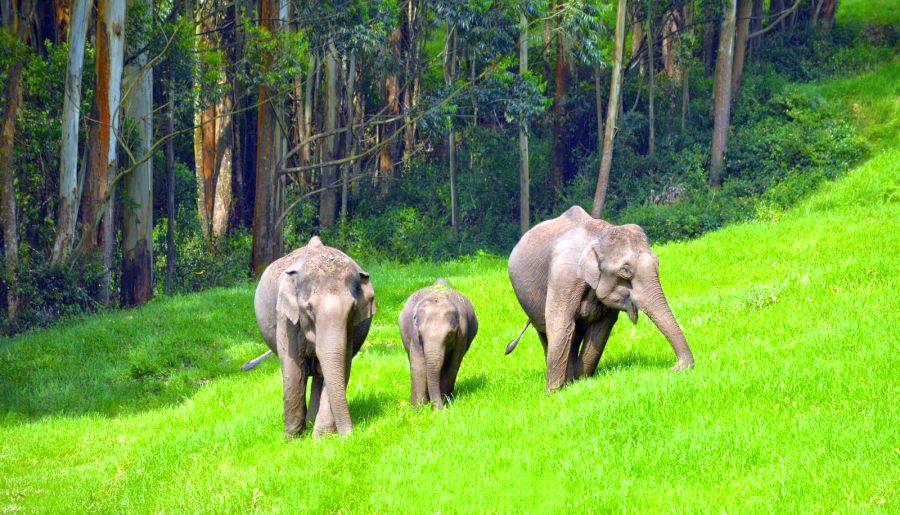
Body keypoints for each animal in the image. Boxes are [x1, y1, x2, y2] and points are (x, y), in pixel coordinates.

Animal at [248, 236, 374, 438]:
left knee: (321, 374)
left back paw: (312, 421)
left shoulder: (350, 328)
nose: (350, 436)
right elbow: (293, 370)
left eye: (353, 308)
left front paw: (321, 438)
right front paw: (293, 439)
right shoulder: (285, 317)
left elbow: (342, 365)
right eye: (309, 308)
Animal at [400, 280, 478, 410]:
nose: (439, 409)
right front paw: (418, 409)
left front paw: (444, 402)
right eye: (420, 333)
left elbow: (452, 365)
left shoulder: (462, 334)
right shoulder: (414, 335)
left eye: (450, 334)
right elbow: (418, 364)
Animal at [506, 206, 696, 392]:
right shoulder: (563, 278)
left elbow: (601, 328)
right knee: (547, 332)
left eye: (658, 263)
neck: (600, 234)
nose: (673, 368)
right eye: (625, 271)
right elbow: (561, 324)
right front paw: (553, 394)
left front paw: (580, 381)